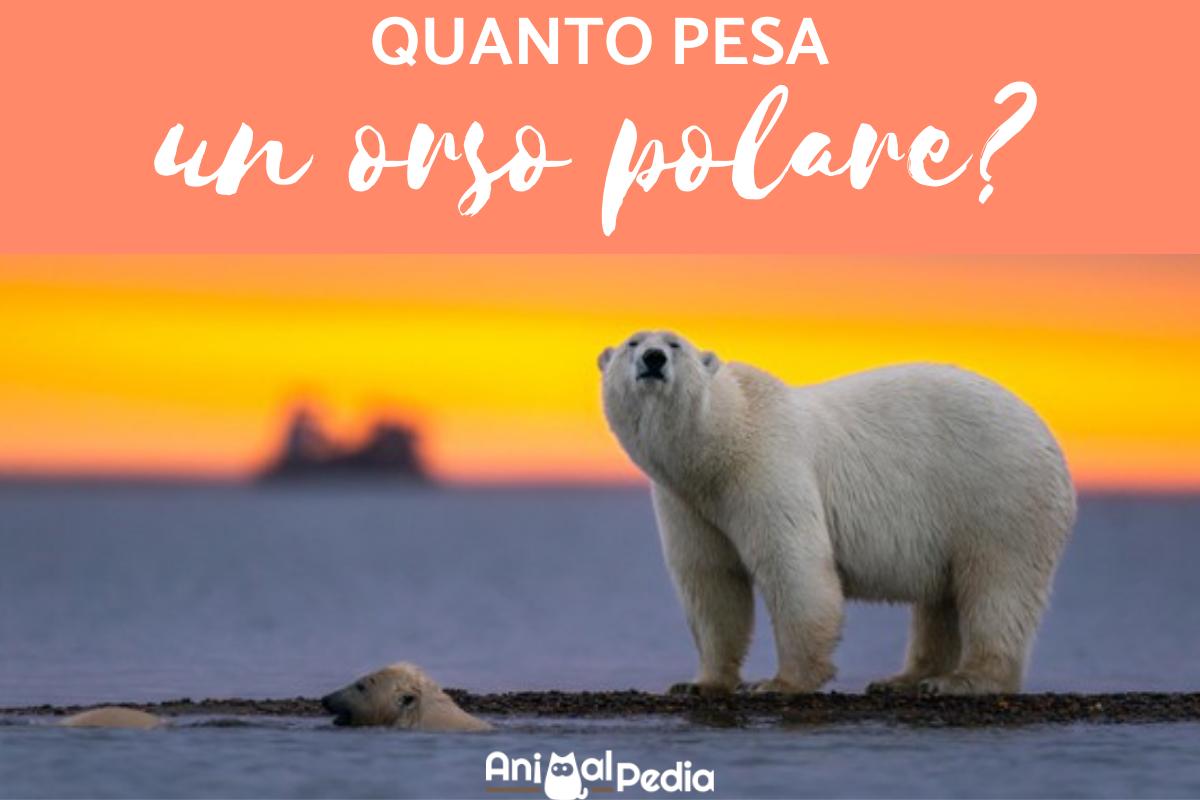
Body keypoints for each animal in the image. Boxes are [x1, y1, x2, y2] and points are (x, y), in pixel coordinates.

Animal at [599, 330, 1075, 696]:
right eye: (633, 342)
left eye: (674, 343)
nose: (653, 359)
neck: (720, 444)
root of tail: (1050, 440)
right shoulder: (687, 503)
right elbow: (711, 582)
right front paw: (700, 683)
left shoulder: (767, 467)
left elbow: (794, 566)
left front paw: (779, 683)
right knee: (941, 600)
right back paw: (903, 679)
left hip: (999, 494)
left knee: (998, 585)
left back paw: (963, 680)